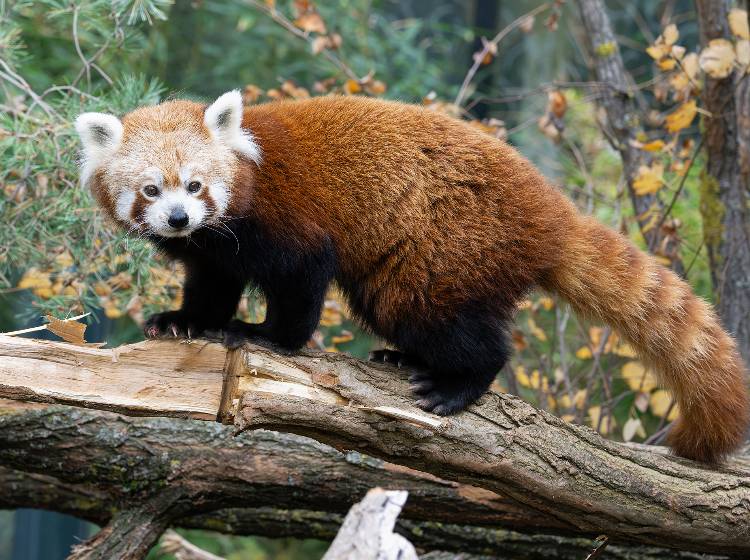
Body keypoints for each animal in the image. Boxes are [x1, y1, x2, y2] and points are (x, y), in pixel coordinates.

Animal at [78, 88, 750, 464]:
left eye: (195, 185)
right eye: (151, 190)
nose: (178, 217)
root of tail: (550, 215)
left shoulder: (285, 220)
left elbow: (302, 282)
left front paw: (267, 337)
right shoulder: (214, 250)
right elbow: (211, 285)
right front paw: (184, 321)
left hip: (444, 248)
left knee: (445, 321)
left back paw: (457, 383)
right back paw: (406, 359)